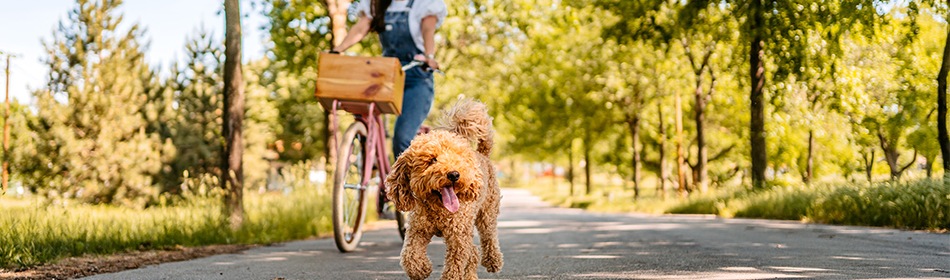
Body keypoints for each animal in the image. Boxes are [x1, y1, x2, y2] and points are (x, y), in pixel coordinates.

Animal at [386, 98, 506, 280]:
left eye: (457, 158)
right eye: (432, 160)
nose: (454, 174)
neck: (438, 208)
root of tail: (482, 155)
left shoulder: (458, 238)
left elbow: (455, 266)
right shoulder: (417, 230)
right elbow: (409, 256)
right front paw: (422, 269)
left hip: (487, 212)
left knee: (488, 236)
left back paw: (493, 261)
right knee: (474, 252)